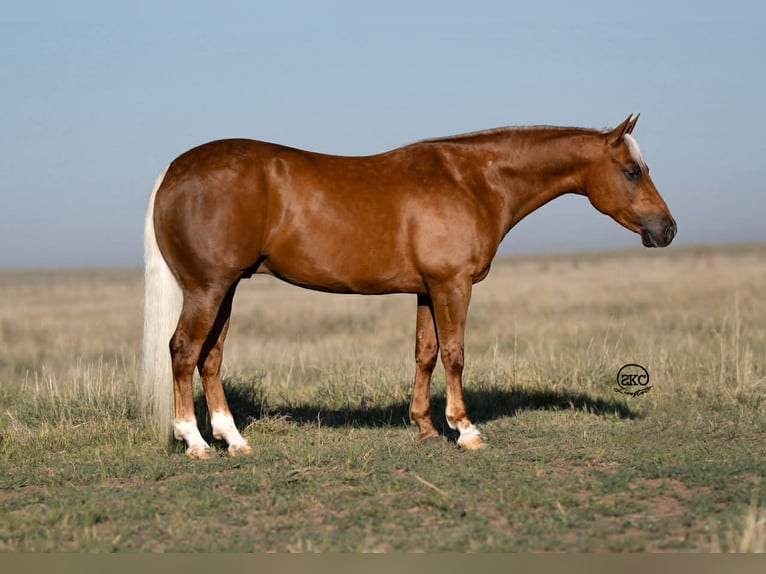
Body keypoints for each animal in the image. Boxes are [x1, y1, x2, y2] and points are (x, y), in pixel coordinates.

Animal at [142, 113, 676, 458]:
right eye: (632, 171)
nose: (667, 230)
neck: (472, 181)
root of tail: (173, 171)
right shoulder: (453, 285)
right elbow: (455, 354)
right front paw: (466, 430)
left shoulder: (426, 289)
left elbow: (425, 353)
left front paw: (425, 428)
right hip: (208, 289)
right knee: (184, 351)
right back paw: (195, 442)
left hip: (226, 289)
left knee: (210, 359)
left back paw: (234, 441)